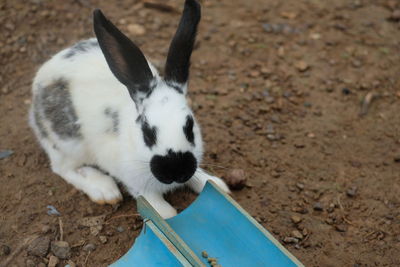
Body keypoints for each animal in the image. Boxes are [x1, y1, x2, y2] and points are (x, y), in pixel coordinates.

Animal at [28, 0, 228, 220]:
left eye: (190, 127)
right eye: (148, 133)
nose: (176, 171)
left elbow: (201, 179)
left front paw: (218, 184)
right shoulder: (132, 179)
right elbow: (156, 204)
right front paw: (166, 213)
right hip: (69, 143)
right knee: (63, 168)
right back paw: (105, 190)